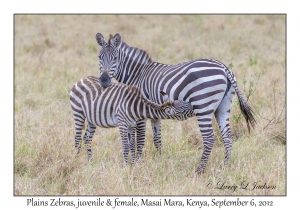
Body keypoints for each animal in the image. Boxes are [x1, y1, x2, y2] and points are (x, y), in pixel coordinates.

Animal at [94, 32, 255, 174]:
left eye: (115, 58)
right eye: (99, 57)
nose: (104, 81)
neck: (138, 74)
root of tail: (224, 68)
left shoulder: (139, 111)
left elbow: (139, 139)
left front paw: (137, 163)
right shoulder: (154, 113)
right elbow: (157, 139)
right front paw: (159, 160)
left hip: (202, 105)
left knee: (209, 138)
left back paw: (199, 170)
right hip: (223, 106)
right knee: (227, 135)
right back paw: (226, 166)